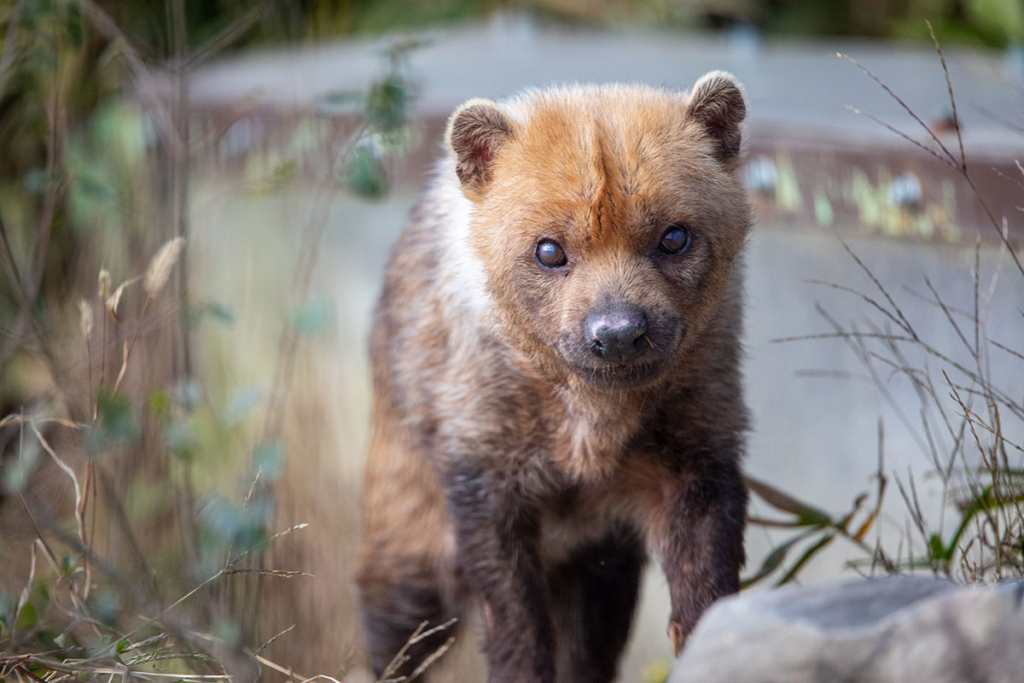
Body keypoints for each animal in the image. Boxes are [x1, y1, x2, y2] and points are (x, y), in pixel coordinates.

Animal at [356, 72, 749, 679]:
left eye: (674, 236)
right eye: (548, 250)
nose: (619, 333)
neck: (587, 428)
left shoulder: (695, 459)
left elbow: (705, 593)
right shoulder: (484, 482)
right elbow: (515, 631)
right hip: (408, 544)